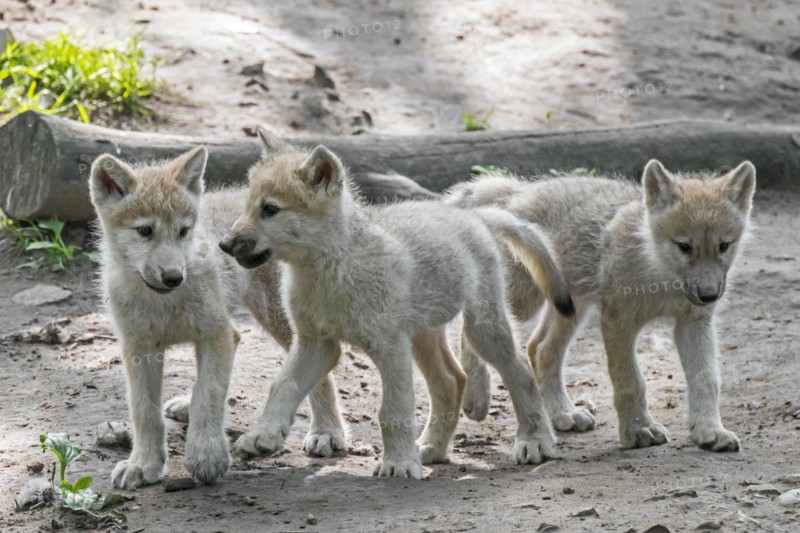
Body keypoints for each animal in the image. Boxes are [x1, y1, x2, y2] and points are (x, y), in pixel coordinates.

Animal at [89, 147, 347, 489]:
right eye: (145, 231)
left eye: (183, 231)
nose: (174, 277)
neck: (163, 303)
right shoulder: (138, 349)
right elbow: (145, 412)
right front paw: (143, 464)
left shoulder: (217, 335)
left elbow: (208, 395)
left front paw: (206, 455)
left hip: (282, 322)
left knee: (321, 370)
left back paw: (327, 432)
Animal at [218, 132, 575, 478]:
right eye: (248, 206)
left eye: (269, 209)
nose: (224, 244)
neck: (331, 271)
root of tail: (473, 216)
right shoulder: (316, 344)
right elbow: (283, 386)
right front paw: (263, 437)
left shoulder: (388, 346)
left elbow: (393, 410)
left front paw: (399, 464)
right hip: (423, 335)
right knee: (452, 380)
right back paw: (432, 448)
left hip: (483, 331)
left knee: (521, 370)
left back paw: (534, 441)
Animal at [447, 160, 755, 452]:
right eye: (684, 247)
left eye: (724, 246)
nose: (709, 295)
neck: (659, 276)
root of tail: (515, 191)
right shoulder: (618, 322)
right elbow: (630, 382)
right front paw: (639, 431)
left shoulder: (694, 323)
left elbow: (707, 379)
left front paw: (710, 432)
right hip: (523, 301)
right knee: (470, 330)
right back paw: (476, 395)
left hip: (570, 307)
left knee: (540, 349)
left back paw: (563, 414)